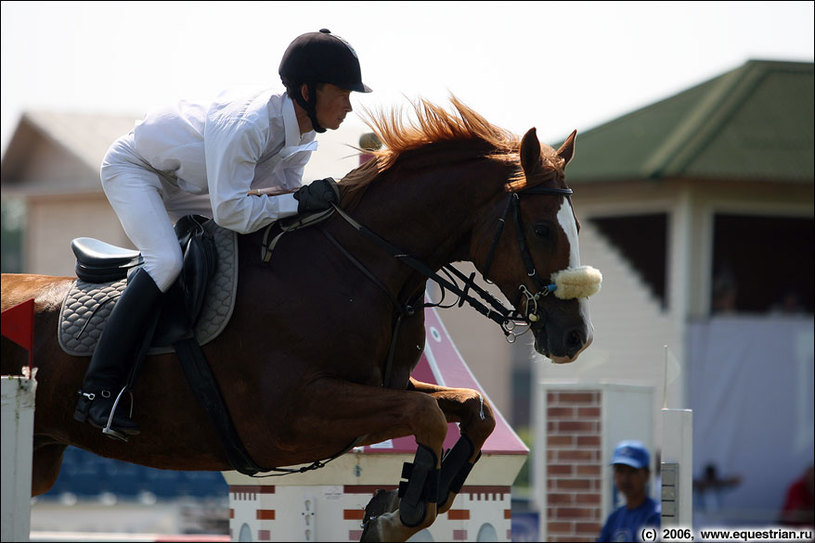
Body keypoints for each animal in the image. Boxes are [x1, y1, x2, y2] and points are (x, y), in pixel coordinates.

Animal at [0, 99, 600, 543]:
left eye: (575, 225)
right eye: (542, 229)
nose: (574, 336)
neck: (355, 263)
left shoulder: (381, 386)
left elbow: (472, 411)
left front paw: (414, 502)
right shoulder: (290, 418)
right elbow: (427, 416)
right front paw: (398, 513)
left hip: (39, 458)